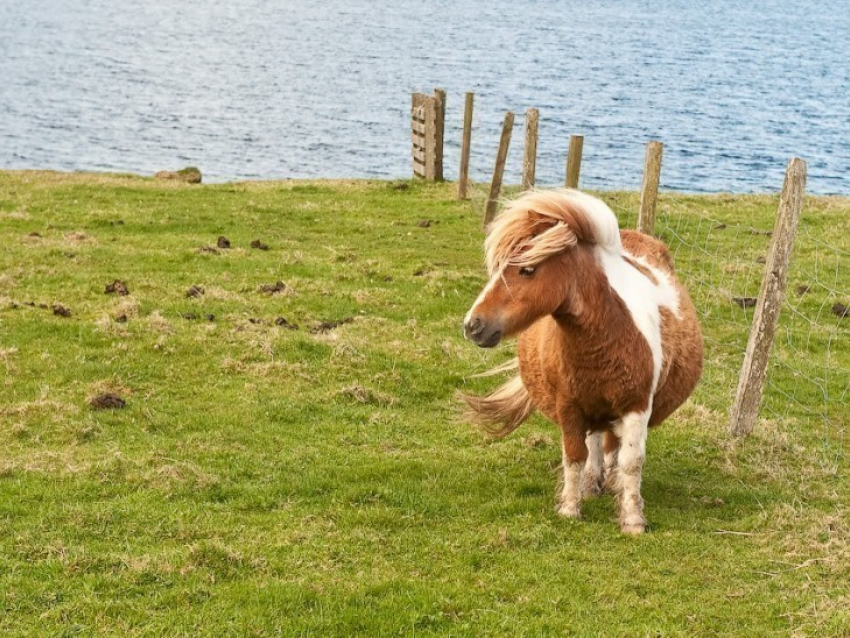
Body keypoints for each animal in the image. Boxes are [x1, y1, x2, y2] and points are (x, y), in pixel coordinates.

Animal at [460, 190, 700, 536]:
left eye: (527, 270)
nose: (472, 325)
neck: (609, 332)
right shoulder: (570, 407)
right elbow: (575, 456)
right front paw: (571, 508)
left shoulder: (637, 407)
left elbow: (631, 462)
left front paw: (632, 519)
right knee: (597, 443)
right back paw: (593, 483)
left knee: (613, 445)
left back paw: (612, 483)